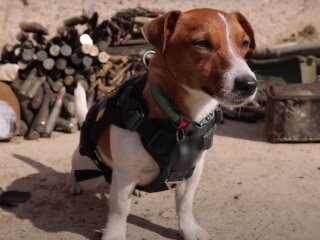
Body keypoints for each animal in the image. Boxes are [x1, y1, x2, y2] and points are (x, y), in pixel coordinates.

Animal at [67, 7, 258, 240]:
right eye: (202, 43)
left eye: (245, 43)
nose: (249, 85)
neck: (182, 122)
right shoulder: (125, 176)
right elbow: (120, 210)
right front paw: (114, 234)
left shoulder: (193, 171)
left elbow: (184, 204)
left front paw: (189, 229)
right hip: (88, 172)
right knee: (78, 173)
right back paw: (73, 183)